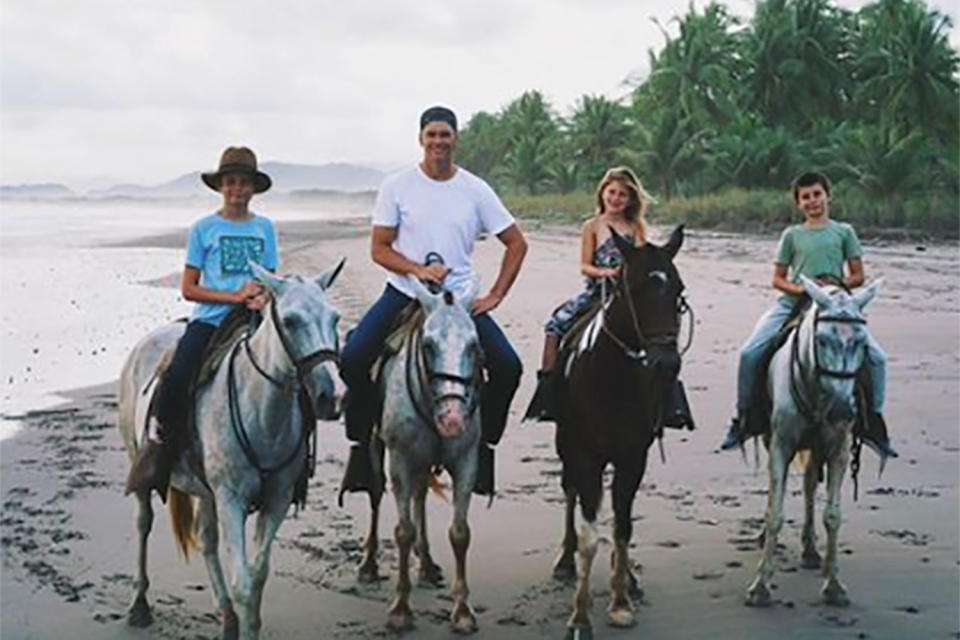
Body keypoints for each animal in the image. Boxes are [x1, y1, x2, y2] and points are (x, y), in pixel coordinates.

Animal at [117, 262, 346, 640]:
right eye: (291, 321)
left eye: (335, 318)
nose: (334, 396)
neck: (262, 411)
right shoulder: (231, 500)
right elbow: (243, 581)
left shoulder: (276, 500)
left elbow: (257, 576)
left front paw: (247, 622)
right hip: (139, 459)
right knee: (142, 523)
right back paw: (139, 604)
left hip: (206, 491)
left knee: (206, 539)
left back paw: (226, 616)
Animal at [356, 276, 484, 636]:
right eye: (428, 345)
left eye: (473, 345)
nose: (453, 419)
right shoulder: (401, 460)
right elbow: (403, 531)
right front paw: (400, 609)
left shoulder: (467, 462)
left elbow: (460, 533)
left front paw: (462, 611)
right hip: (377, 447)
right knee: (376, 494)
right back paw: (369, 563)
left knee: (421, 494)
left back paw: (426, 564)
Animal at [552, 224, 688, 636]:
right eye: (636, 287)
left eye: (678, 290)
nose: (665, 363)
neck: (612, 375)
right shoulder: (584, 455)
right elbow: (589, 536)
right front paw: (580, 617)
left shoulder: (632, 457)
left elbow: (623, 528)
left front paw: (621, 601)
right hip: (566, 447)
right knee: (569, 492)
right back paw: (564, 561)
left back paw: (629, 578)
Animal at [748, 274, 880, 604]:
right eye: (821, 340)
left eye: (862, 342)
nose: (842, 409)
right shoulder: (781, 444)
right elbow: (776, 512)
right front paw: (760, 586)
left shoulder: (839, 450)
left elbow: (832, 515)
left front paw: (834, 585)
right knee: (777, 491)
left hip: (817, 448)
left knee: (809, 485)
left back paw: (810, 549)